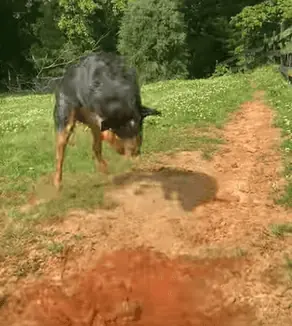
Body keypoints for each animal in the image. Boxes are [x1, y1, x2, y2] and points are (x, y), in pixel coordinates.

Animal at [53, 52, 161, 190]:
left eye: (139, 127)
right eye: (122, 130)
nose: (136, 152)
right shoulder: (98, 114)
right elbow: (109, 133)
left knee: (95, 147)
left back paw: (106, 169)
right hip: (64, 116)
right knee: (60, 152)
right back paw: (57, 184)